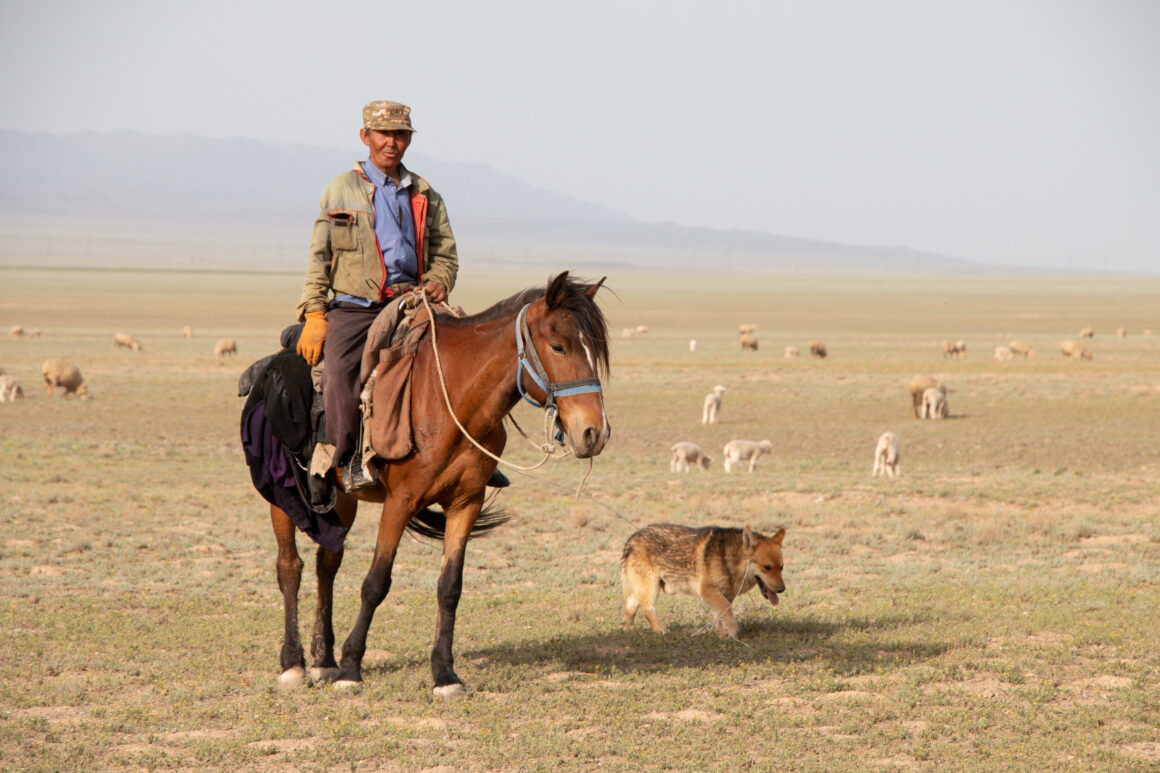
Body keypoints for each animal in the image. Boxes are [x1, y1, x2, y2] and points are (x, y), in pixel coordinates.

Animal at [267, 269, 612, 691]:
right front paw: (351, 668)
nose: (594, 433)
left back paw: (323, 659)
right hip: (281, 495)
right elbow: (375, 583)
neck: (455, 400)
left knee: (326, 563)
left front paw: (444, 673)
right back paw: (294, 663)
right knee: (290, 566)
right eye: (559, 347)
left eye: (595, 350)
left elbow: (450, 587)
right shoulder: (400, 501)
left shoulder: (466, 501)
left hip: (342, 498)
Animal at [621, 519, 784, 636]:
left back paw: (628, 632)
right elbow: (726, 611)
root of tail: (631, 539)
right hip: (650, 588)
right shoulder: (707, 591)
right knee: (648, 610)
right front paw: (732, 632)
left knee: (629, 609)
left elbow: (721, 614)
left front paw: (723, 634)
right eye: (767, 567)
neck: (730, 559)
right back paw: (661, 631)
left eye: (781, 567)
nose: (782, 589)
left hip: (638, 592)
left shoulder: (724, 595)